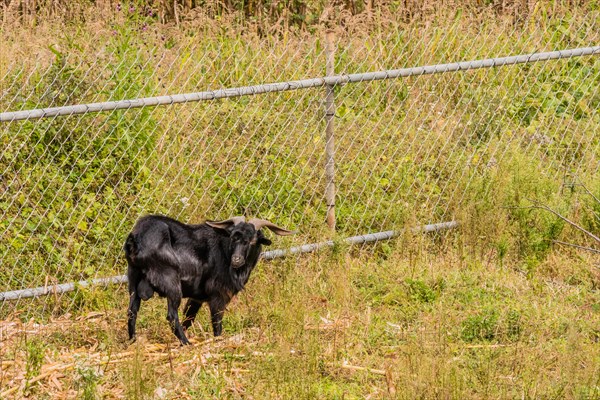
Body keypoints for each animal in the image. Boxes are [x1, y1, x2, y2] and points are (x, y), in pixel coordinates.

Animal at [123, 216, 292, 344]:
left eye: (252, 241)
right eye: (233, 238)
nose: (236, 260)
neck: (225, 252)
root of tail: (136, 239)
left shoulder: (196, 298)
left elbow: (189, 318)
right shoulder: (219, 295)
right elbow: (217, 324)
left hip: (133, 277)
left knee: (132, 311)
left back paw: (132, 341)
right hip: (170, 281)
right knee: (171, 315)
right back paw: (187, 343)